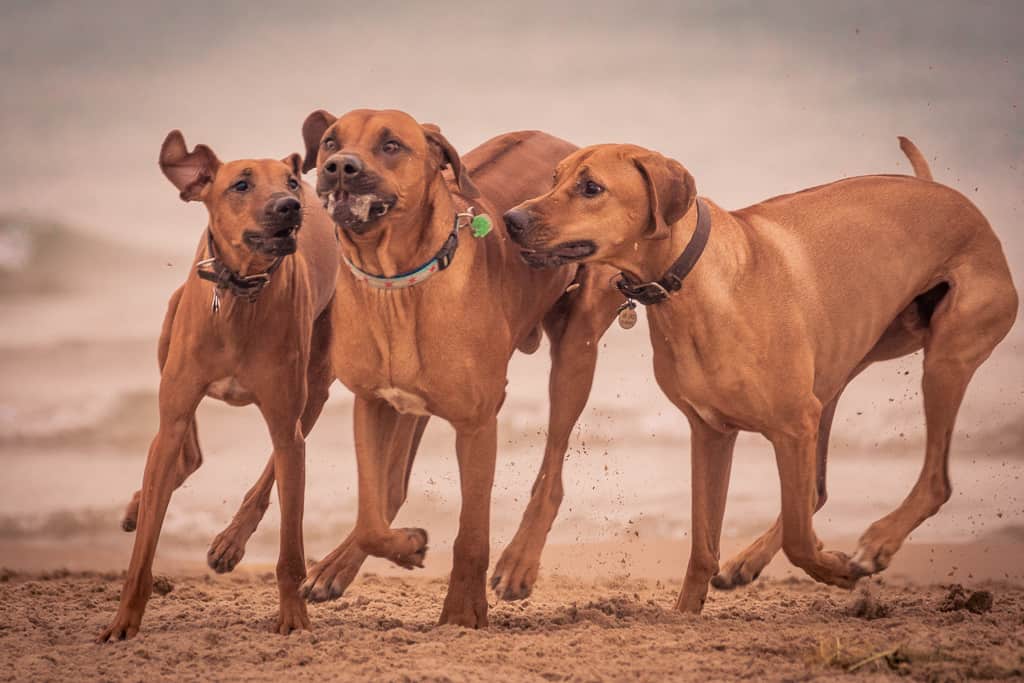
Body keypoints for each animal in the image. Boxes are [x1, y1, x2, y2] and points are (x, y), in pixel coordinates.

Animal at [97, 132, 335, 643]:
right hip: (169, 340)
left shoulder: (286, 426)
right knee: (184, 454)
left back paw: (229, 542)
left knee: (270, 471)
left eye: (288, 182)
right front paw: (123, 621)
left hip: (315, 389)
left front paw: (294, 618)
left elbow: (290, 553)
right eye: (240, 184)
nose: (290, 205)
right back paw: (139, 504)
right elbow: (143, 552)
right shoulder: (175, 410)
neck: (241, 295)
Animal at [503, 136, 1015, 610]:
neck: (692, 282)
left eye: (591, 187)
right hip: (837, 378)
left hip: (946, 355)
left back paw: (877, 543)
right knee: (815, 493)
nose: (511, 219)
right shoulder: (710, 431)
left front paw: (836, 570)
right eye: (553, 179)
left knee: (933, 483)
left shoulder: (793, 425)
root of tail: (945, 192)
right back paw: (748, 561)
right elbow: (704, 545)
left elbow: (800, 540)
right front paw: (685, 614)